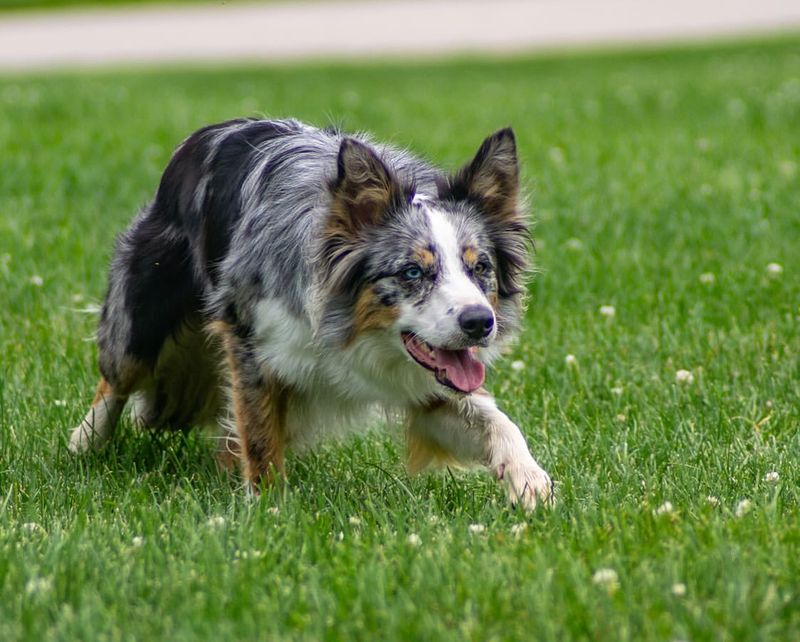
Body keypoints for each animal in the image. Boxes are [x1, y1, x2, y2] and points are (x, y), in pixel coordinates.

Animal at [69, 117, 552, 510]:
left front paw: (528, 479)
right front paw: (269, 510)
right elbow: (259, 437)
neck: (350, 331)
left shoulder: (426, 386)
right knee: (115, 379)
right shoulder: (250, 344)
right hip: (141, 314)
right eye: (412, 271)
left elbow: (493, 417)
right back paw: (83, 444)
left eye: (480, 268)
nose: (479, 323)